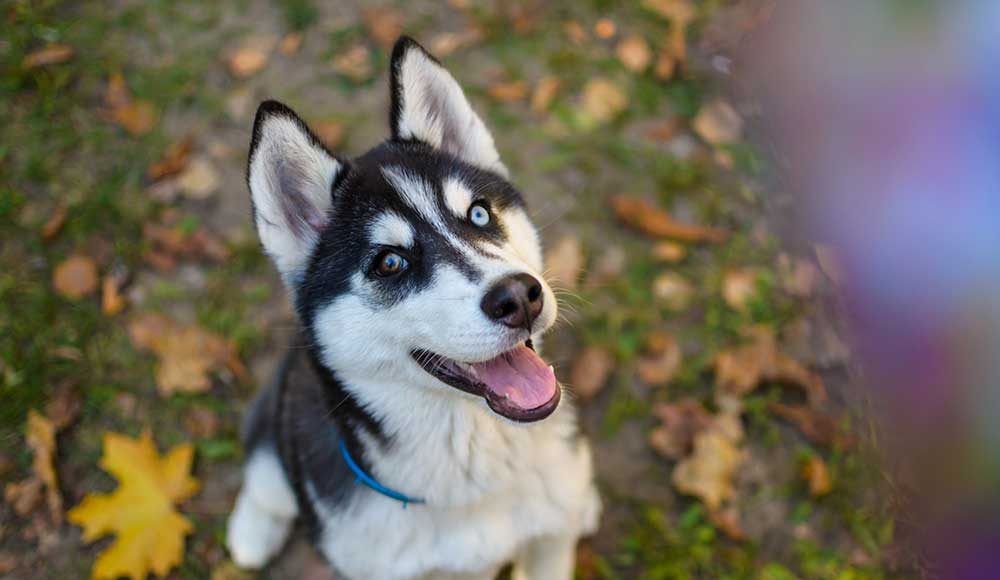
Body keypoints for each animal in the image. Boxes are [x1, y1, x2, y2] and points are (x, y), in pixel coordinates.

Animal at [225, 37, 600, 580]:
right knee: (265, 476)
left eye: (479, 214)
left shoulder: (549, 540)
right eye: (390, 262)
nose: (518, 296)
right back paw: (252, 532)